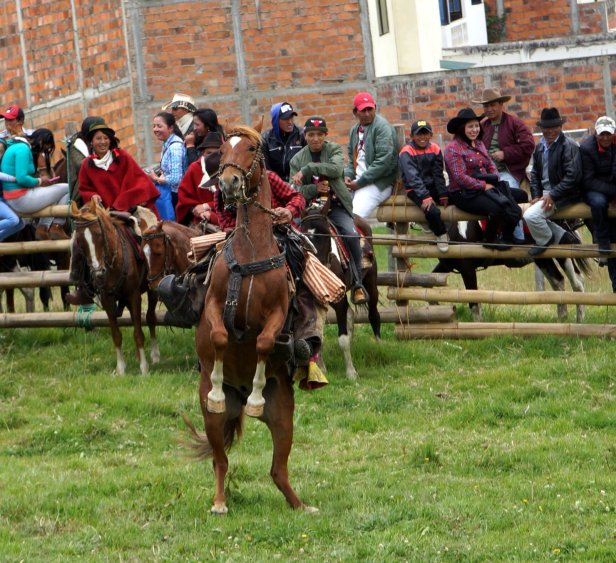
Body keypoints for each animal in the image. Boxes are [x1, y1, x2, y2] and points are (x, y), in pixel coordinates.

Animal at [70, 200, 159, 375]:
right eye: (80, 240)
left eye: (99, 234)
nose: (98, 273)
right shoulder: (107, 300)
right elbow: (116, 335)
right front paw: (121, 369)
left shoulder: (133, 296)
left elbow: (138, 333)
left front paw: (144, 368)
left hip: (152, 290)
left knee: (150, 318)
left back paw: (155, 355)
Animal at [184, 124, 316, 514]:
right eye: (224, 150)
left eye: (253, 148)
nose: (227, 182)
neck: (251, 252)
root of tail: (237, 397)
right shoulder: (216, 302)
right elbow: (220, 337)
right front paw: (216, 384)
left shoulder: (276, 313)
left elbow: (263, 342)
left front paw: (256, 396)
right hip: (214, 420)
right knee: (220, 460)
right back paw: (219, 502)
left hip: (283, 413)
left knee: (278, 469)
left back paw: (301, 506)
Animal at [300, 205, 381, 380]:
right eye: (304, 237)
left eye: (326, 234)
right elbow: (319, 335)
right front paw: (322, 369)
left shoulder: (339, 301)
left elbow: (342, 339)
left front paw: (351, 373)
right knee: (351, 315)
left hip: (370, 283)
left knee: (373, 315)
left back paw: (379, 346)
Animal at [433, 220, 590, 322]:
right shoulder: (446, 265)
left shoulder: (467, 268)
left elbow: (474, 301)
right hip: (542, 259)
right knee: (558, 281)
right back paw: (562, 318)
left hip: (562, 254)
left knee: (577, 284)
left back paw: (579, 319)